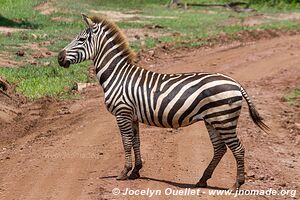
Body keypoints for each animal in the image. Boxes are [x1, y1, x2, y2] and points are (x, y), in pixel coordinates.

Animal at [57, 14, 268, 191]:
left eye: (81, 40)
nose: (59, 58)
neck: (117, 75)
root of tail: (236, 83)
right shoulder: (132, 115)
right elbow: (136, 141)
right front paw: (136, 171)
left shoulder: (122, 112)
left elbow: (126, 142)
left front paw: (124, 172)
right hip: (213, 120)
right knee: (220, 149)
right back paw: (202, 180)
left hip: (223, 119)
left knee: (238, 149)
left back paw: (236, 184)